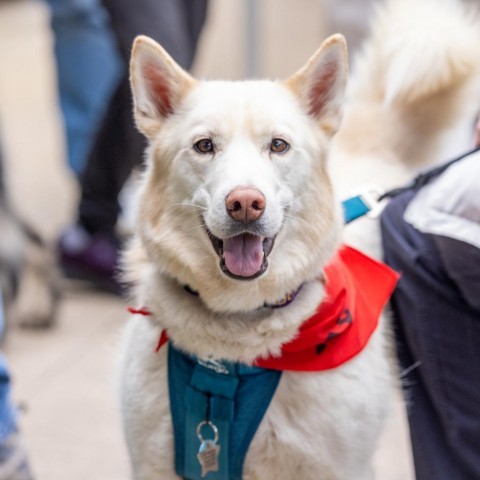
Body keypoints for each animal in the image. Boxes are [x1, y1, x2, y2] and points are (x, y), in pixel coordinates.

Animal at [120, 0, 480, 480]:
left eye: (278, 145)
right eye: (204, 146)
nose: (245, 203)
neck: (233, 348)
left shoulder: (336, 467)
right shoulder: (155, 462)